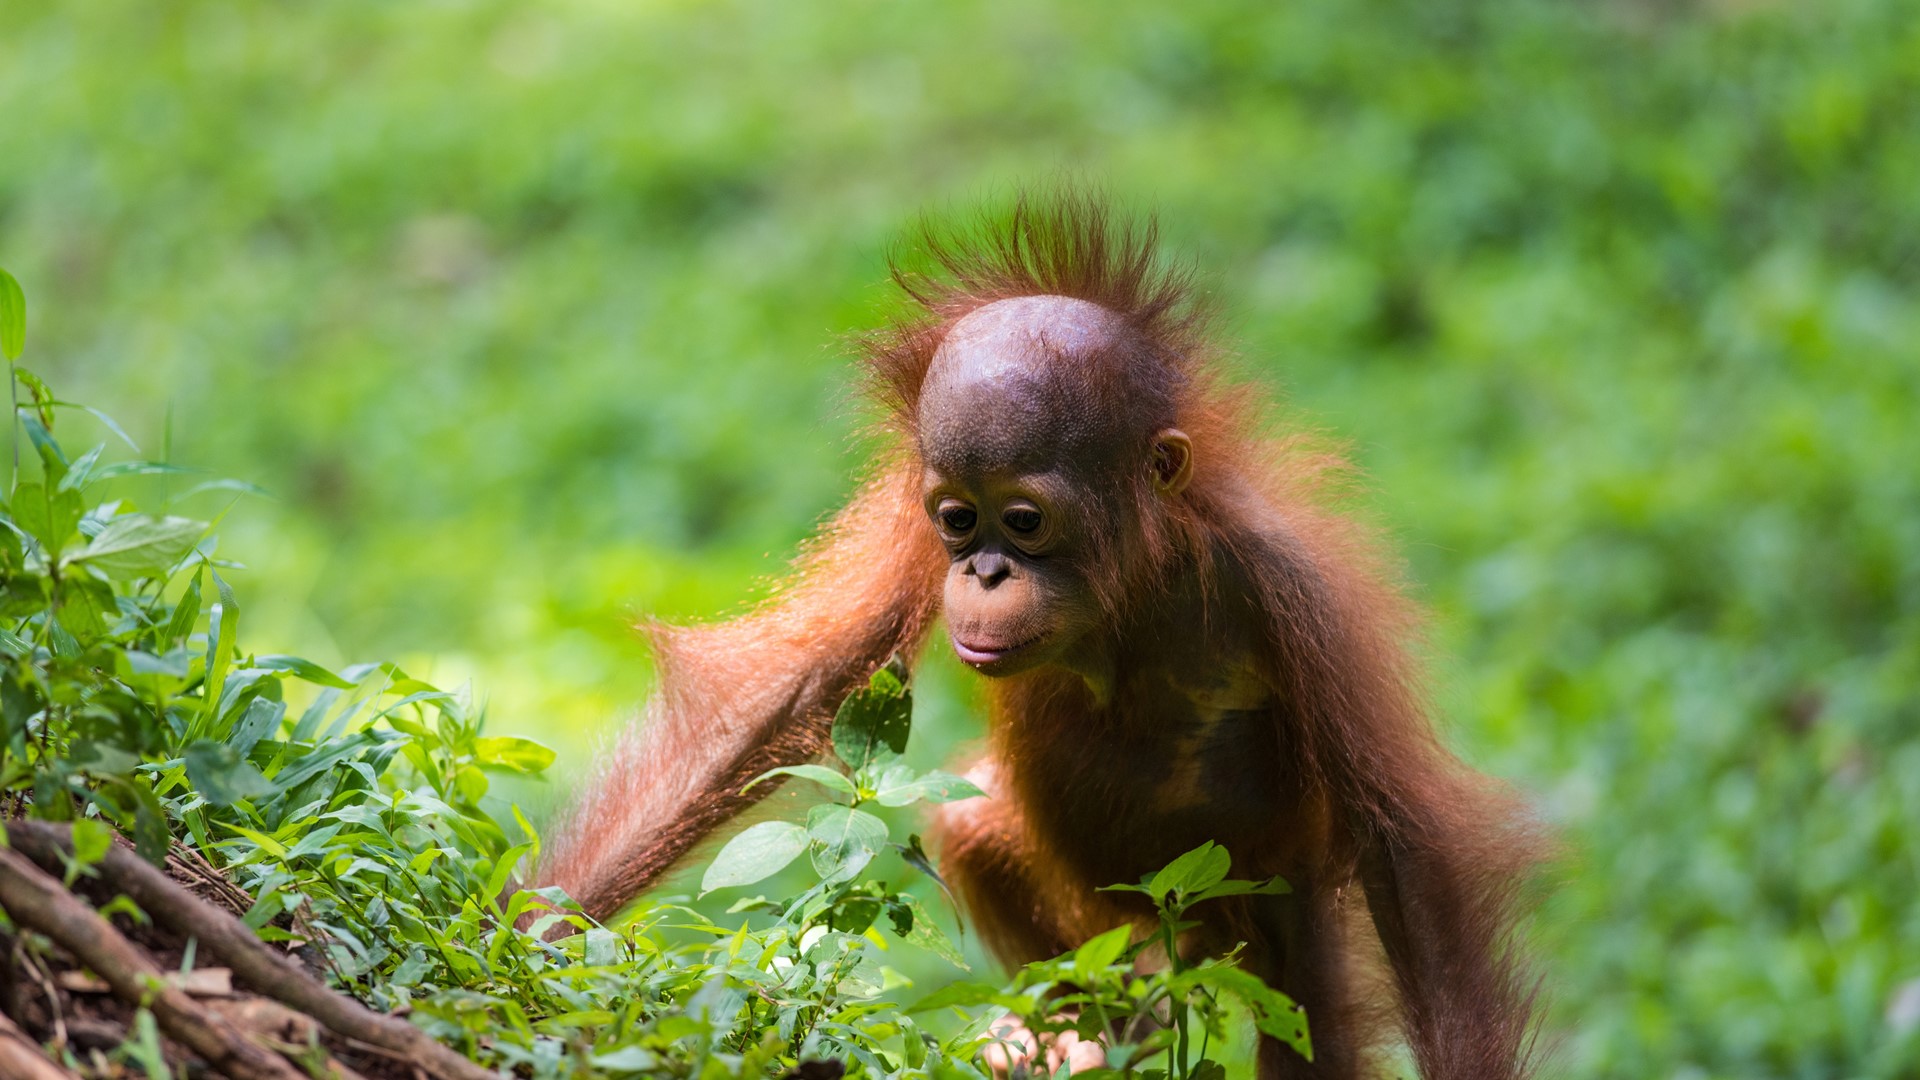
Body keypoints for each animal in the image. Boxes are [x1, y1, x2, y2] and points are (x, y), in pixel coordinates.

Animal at [534, 192, 1542, 1079]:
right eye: (957, 518)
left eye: (1023, 521)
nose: (984, 573)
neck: (1128, 597)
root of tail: (1185, 935)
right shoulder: (907, 518)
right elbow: (791, 693)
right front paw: (526, 936)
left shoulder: (1290, 585)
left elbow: (1403, 846)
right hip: (1117, 924)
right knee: (979, 823)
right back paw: (1087, 1031)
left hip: (1262, 905)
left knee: (1309, 1018)